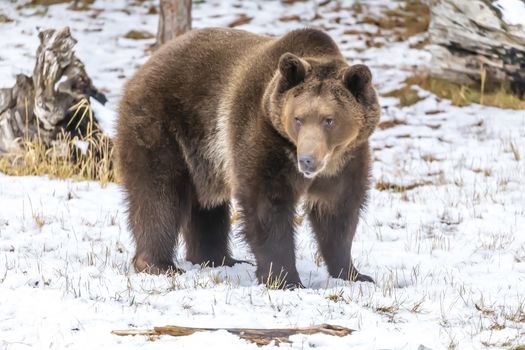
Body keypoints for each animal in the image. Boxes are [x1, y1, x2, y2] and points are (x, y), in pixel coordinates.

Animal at [116, 28, 378, 288]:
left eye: (329, 119)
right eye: (298, 118)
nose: (307, 160)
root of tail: (143, 69)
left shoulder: (347, 160)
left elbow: (338, 212)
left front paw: (354, 274)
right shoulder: (263, 139)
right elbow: (267, 205)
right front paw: (285, 279)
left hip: (205, 158)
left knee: (206, 206)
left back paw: (218, 259)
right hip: (164, 125)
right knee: (159, 193)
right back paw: (158, 264)